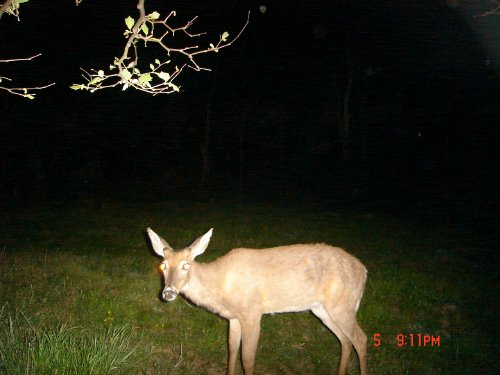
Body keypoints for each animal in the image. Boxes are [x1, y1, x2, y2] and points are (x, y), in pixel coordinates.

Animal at [146, 228, 370, 374]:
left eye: (186, 265)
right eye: (163, 265)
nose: (168, 293)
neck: (221, 284)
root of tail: (364, 270)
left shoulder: (252, 312)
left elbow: (247, 358)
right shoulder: (233, 317)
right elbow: (232, 350)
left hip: (342, 304)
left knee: (360, 338)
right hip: (322, 309)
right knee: (345, 340)